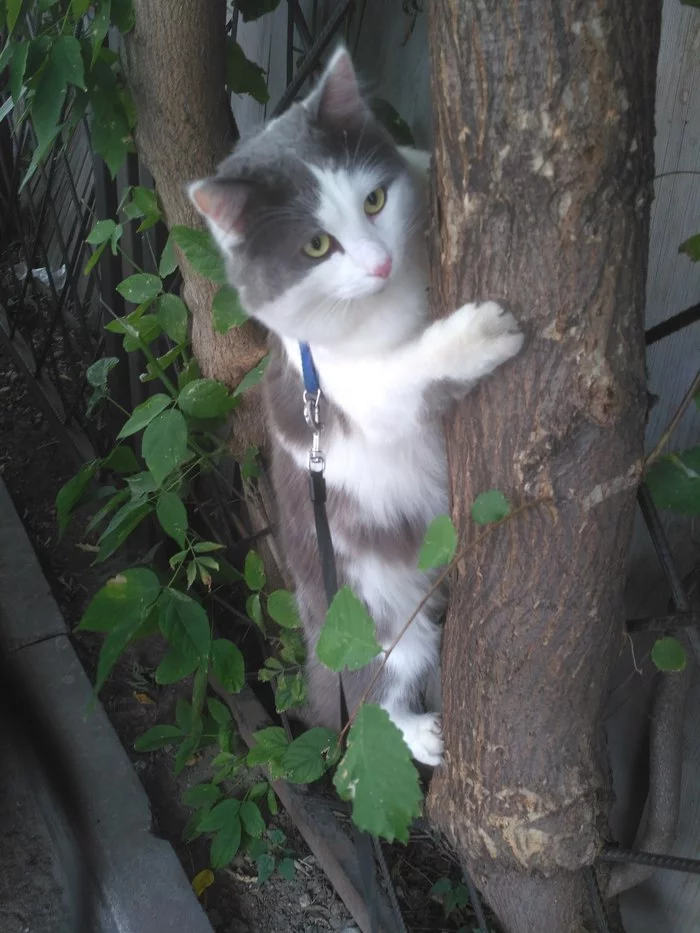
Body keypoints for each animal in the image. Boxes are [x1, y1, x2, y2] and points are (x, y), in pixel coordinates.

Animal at [189, 41, 524, 764]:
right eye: (317, 245)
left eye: (375, 200)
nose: (379, 263)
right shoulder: (357, 391)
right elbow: (414, 366)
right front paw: (479, 336)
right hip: (373, 615)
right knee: (373, 702)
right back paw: (422, 734)